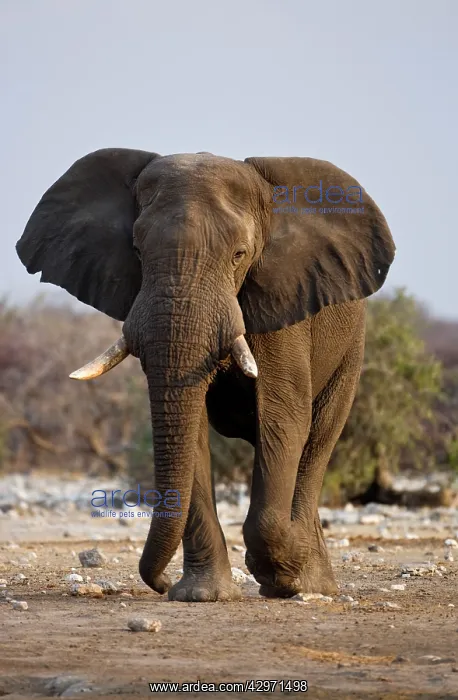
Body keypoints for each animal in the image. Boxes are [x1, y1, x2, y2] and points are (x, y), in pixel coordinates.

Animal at [16, 149, 395, 602]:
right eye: (137, 252)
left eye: (239, 254)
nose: (159, 584)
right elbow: (190, 428)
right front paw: (202, 595)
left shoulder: (280, 302)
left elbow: (282, 419)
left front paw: (279, 578)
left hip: (351, 348)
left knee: (318, 441)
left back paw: (308, 581)